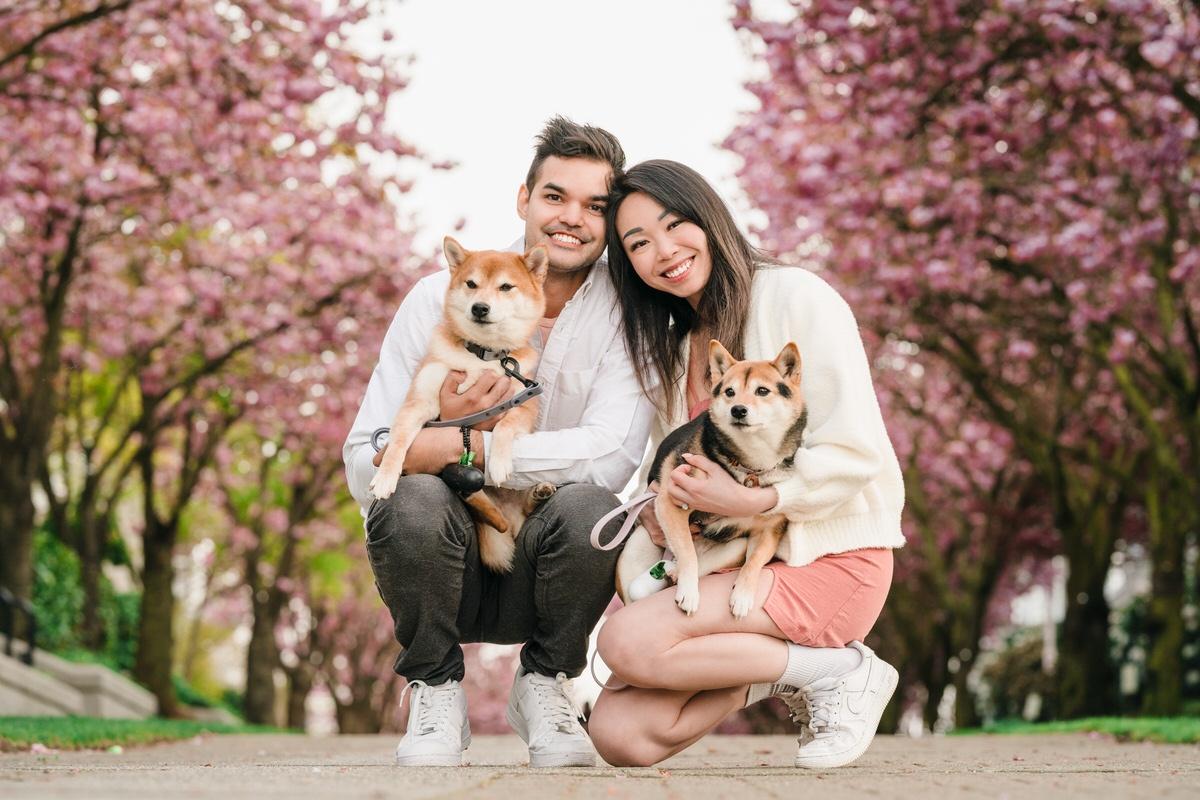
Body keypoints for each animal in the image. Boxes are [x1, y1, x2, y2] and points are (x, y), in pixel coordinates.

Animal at [369, 235, 556, 573]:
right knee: (486, 510)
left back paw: (538, 493)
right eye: (471, 284)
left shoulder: (524, 404)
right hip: (468, 486)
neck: (481, 357)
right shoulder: (419, 402)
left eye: (506, 287)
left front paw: (499, 462)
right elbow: (398, 441)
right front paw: (386, 476)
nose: (480, 307)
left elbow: (506, 427)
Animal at [619, 340, 806, 623]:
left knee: (699, 563)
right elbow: (687, 552)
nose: (737, 409)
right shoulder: (670, 503)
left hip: (735, 546)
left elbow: (755, 562)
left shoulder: (769, 530)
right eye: (730, 392)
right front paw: (689, 593)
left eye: (762, 391)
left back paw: (672, 572)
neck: (750, 464)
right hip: (636, 548)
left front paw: (743, 595)